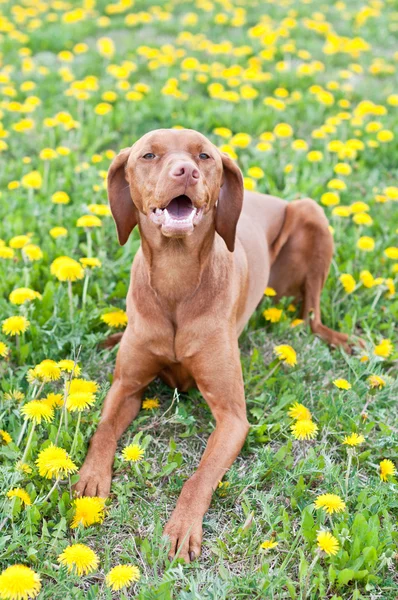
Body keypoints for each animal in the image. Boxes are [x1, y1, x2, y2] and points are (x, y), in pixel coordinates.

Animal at [75, 127, 354, 564]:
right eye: (149, 155)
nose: (185, 171)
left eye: (204, 156)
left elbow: (199, 476)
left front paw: (182, 527)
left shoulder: (233, 417)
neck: (176, 279)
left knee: (313, 315)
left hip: (311, 215)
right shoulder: (127, 387)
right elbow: (102, 431)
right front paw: (89, 479)